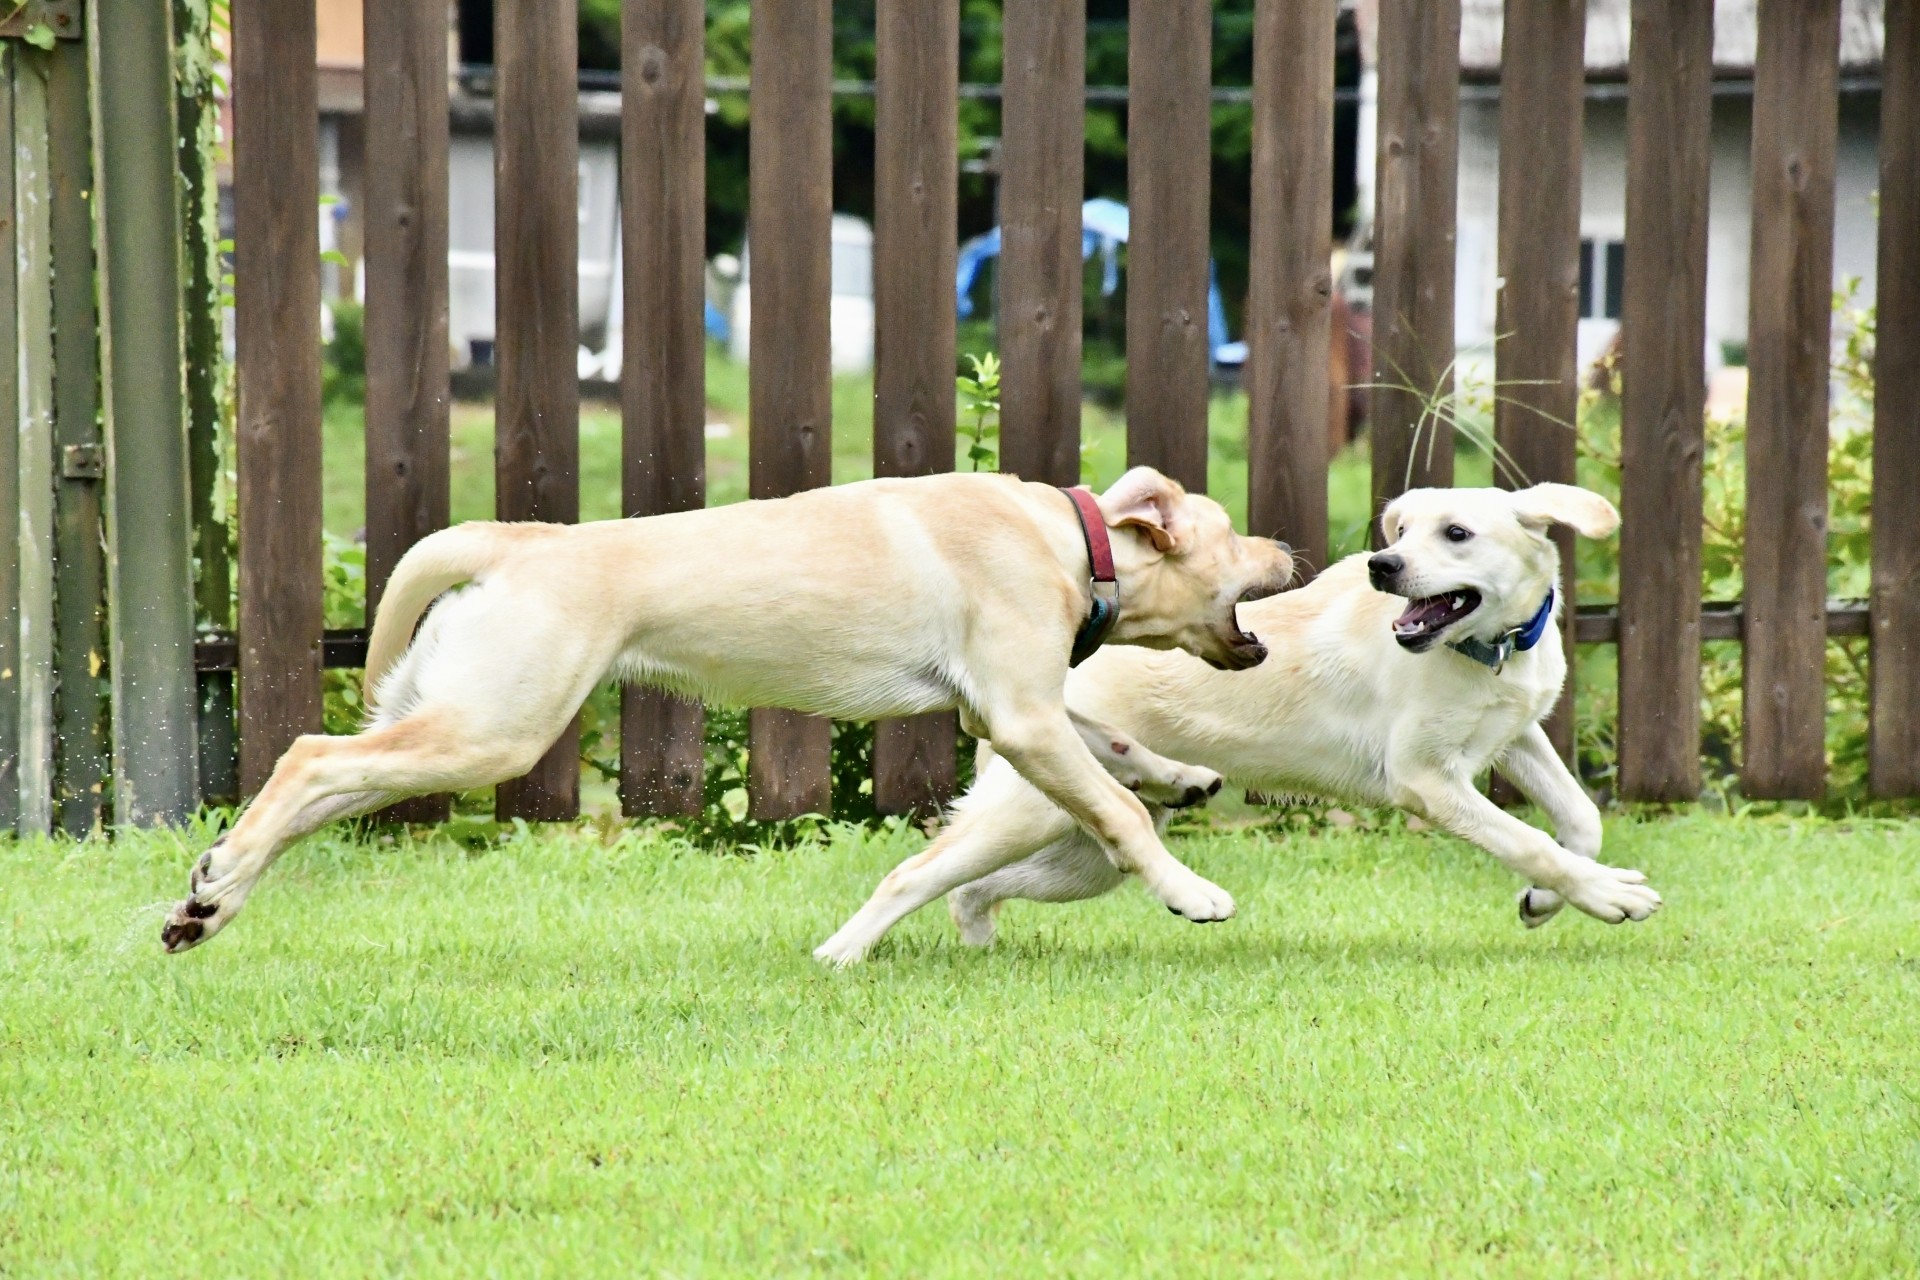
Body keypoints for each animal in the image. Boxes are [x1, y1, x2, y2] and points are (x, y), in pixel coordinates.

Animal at [165, 468, 1297, 951]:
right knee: (307, 756)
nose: (1290, 549)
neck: (1073, 538)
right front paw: (1190, 889)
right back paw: (217, 884)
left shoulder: (1003, 713)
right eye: (1233, 533)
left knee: (321, 782)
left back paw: (210, 897)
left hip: (450, 709)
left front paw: (1183, 772)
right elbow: (1116, 807)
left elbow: (1114, 743)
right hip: (494, 728)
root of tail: (517, 541)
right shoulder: (1018, 717)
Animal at [817, 479, 1658, 959]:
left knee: (975, 887)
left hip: (1086, 850)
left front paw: (1550, 900)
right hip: (1031, 813)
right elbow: (1529, 842)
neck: (1490, 653)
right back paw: (843, 956)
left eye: (1456, 533)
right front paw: (1609, 897)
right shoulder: (1427, 782)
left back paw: (981, 947)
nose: (1382, 566)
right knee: (914, 875)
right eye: (1401, 532)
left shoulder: (1515, 737)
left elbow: (1579, 821)